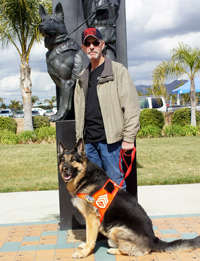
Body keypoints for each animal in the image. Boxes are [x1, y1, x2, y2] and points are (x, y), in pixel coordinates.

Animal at [57, 139, 200, 256]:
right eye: (63, 160)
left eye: (73, 160)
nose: (64, 169)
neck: (84, 176)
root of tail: (154, 240)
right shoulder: (94, 220)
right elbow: (91, 236)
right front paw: (85, 247)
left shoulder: (91, 218)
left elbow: (90, 237)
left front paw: (84, 253)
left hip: (115, 229)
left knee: (139, 251)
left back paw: (114, 250)